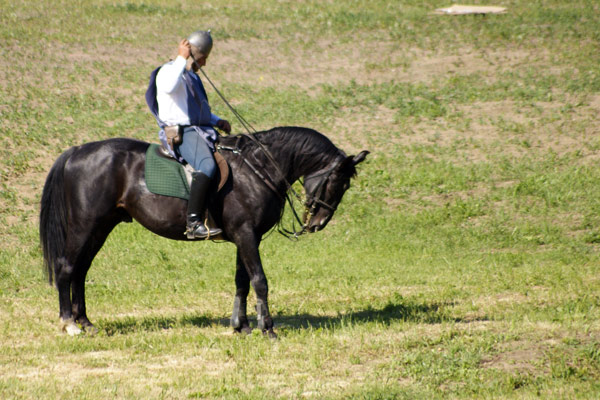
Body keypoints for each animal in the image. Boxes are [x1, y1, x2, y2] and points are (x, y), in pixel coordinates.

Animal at [39, 126, 368, 336]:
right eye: (338, 183)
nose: (318, 223)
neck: (257, 168)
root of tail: (78, 151)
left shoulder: (245, 237)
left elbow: (241, 281)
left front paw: (241, 326)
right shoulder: (247, 235)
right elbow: (259, 280)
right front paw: (268, 328)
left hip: (101, 228)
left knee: (81, 271)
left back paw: (85, 321)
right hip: (85, 226)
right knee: (67, 267)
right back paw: (69, 324)